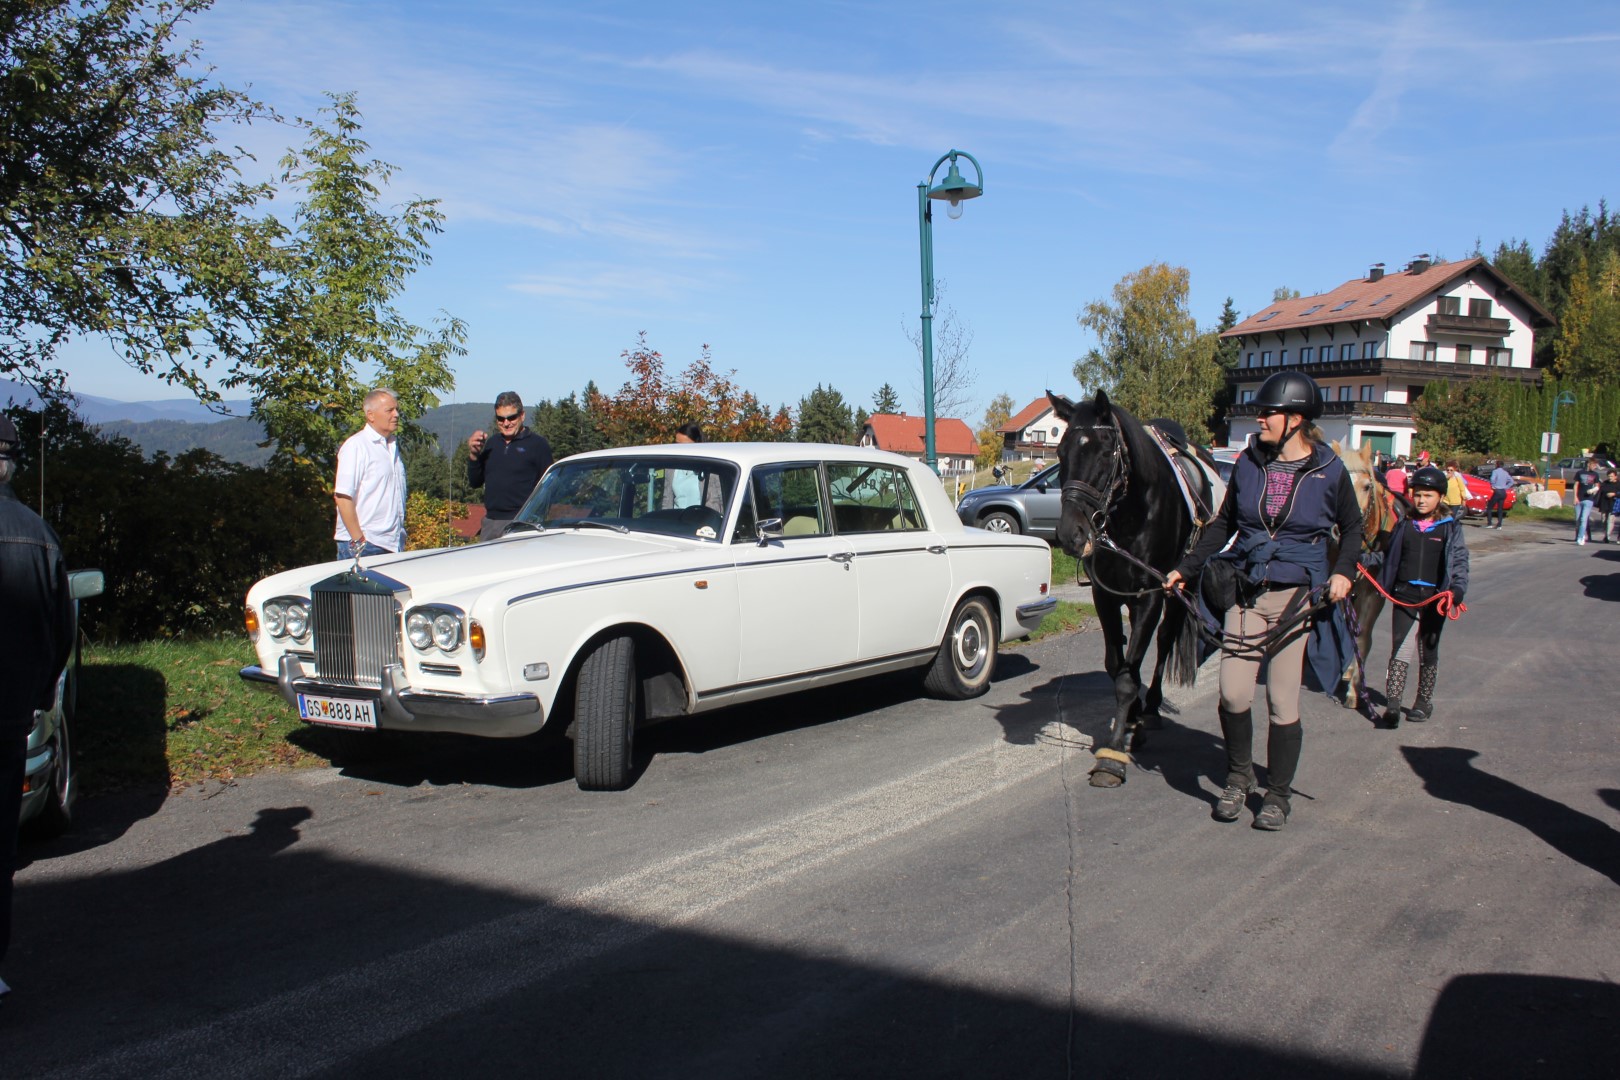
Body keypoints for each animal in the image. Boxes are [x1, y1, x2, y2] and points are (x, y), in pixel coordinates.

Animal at [1043, 388, 1211, 786]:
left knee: (1164, 640)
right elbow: (1116, 666)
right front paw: (1128, 719)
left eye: (1106, 453)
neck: (1134, 512)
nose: (1070, 535)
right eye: (1061, 453)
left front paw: (1113, 754)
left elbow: (1127, 677)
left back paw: (1149, 710)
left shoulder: (1151, 595)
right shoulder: (1104, 595)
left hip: (1178, 591)